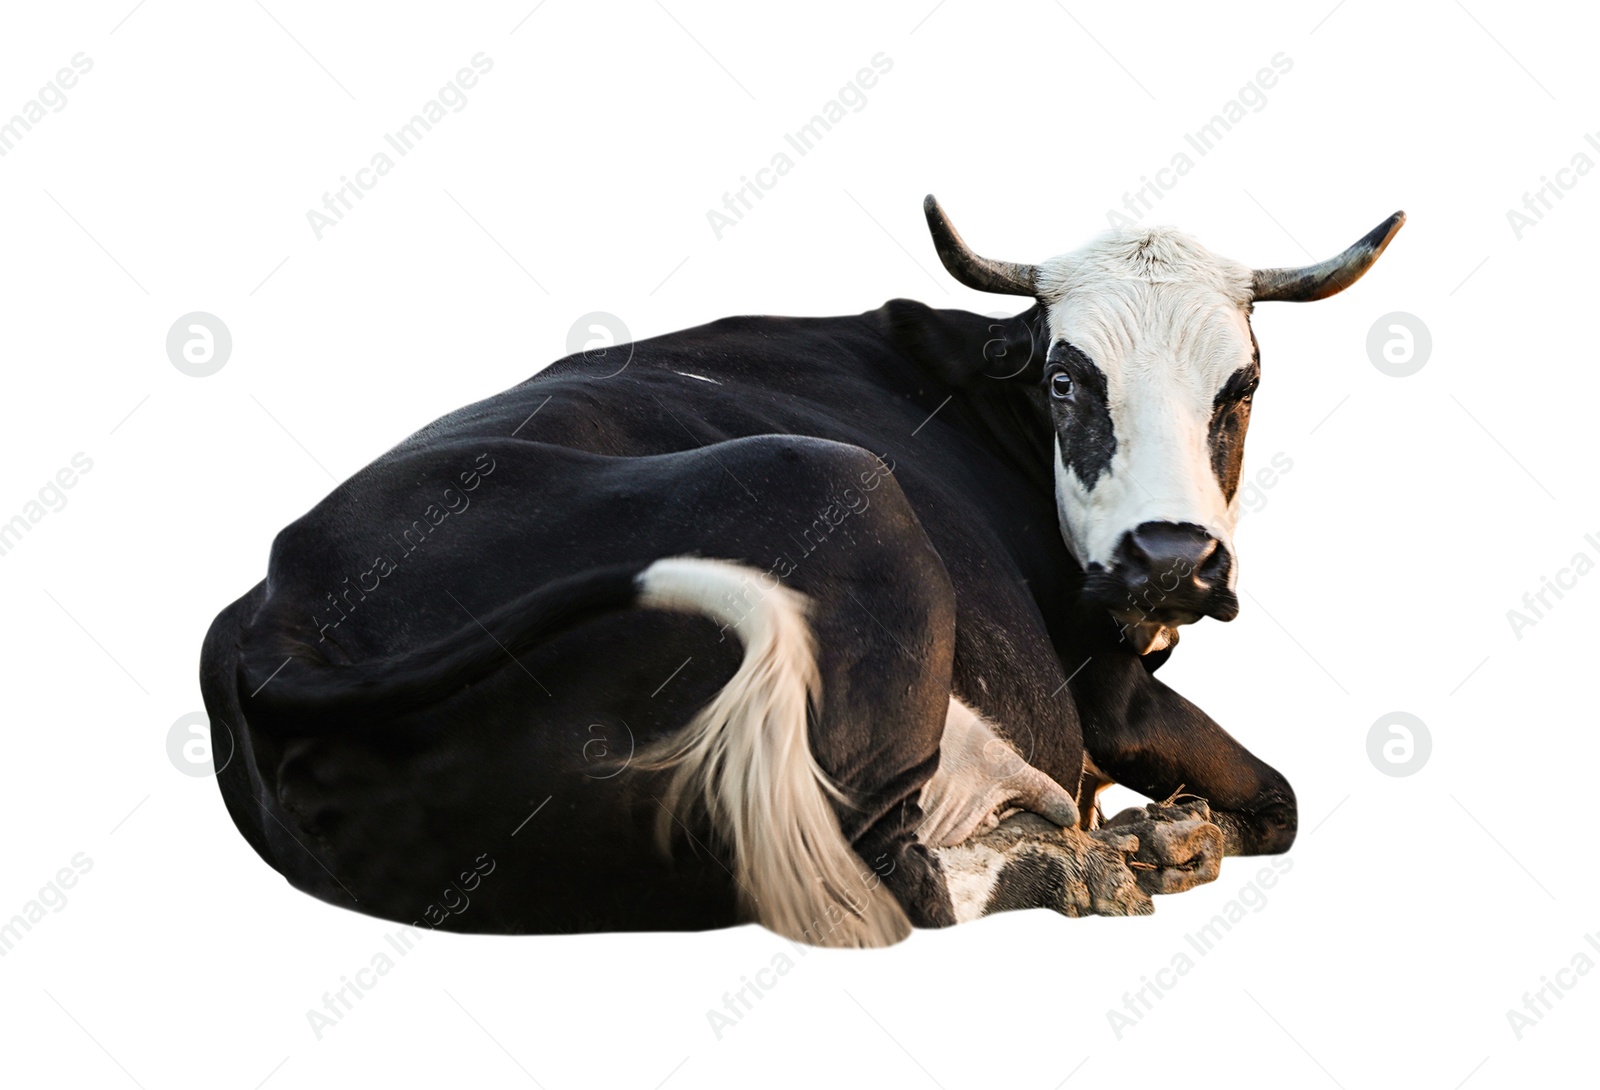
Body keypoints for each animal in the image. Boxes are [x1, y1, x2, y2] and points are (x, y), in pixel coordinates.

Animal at [196, 195, 1401, 941]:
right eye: (1066, 378)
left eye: (1240, 385)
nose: (1170, 557)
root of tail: (280, 614)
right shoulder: (1099, 688)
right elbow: (1280, 800)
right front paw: (1165, 836)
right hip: (838, 486)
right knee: (896, 877)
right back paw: (1087, 863)